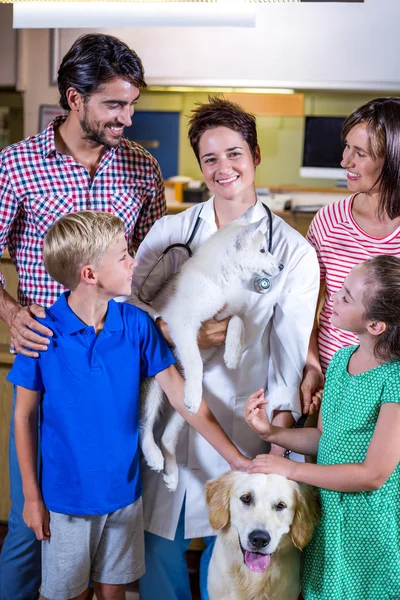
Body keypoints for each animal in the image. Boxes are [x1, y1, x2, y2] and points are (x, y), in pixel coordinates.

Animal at [139, 218, 282, 490]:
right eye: (262, 250)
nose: (281, 265)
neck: (221, 281)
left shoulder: (228, 311)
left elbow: (238, 321)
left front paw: (233, 354)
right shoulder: (182, 324)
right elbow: (195, 361)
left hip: (178, 409)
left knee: (168, 436)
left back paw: (172, 472)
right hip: (154, 384)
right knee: (144, 425)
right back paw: (154, 454)